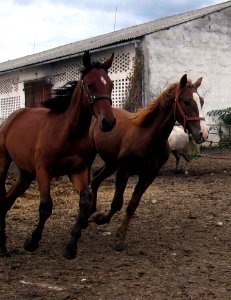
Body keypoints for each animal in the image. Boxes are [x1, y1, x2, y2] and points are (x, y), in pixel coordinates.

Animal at [0, 50, 115, 258]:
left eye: (110, 85)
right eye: (90, 85)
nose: (108, 122)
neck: (67, 133)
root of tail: (12, 117)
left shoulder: (78, 171)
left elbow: (85, 201)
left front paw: (71, 247)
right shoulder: (43, 171)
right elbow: (46, 206)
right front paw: (31, 242)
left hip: (25, 173)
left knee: (6, 201)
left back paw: (3, 247)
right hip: (4, 162)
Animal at [89, 74, 208, 251]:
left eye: (201, 101)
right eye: (186, 101)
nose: (203, 134)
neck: (148, 136)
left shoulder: (148, 175)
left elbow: (132, 204)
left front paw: (119, 236)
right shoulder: (124, 172)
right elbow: (117, 203)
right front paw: (102, 220)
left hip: (111, 163)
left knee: (96, 179)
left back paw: (90, 210)